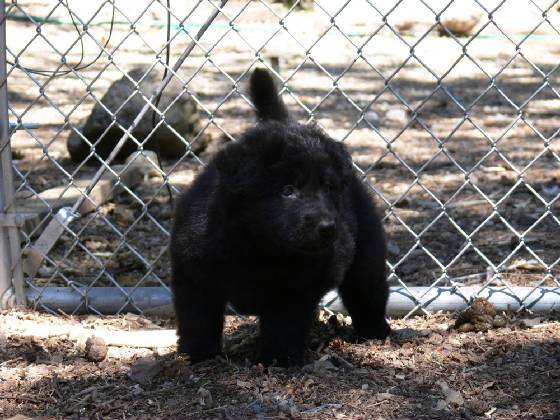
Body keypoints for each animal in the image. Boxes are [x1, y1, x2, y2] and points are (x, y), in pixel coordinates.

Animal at [170, 67, 390, 366]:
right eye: (287, 190)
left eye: (328, 188)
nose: (327, 227)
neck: (259, 247)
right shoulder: (193, 275)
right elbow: (197, 318)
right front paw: (197, 353)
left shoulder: (295, 290)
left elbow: (284, 325)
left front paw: (278, 359)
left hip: (366, 255)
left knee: (368, 293)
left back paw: (376, 332)